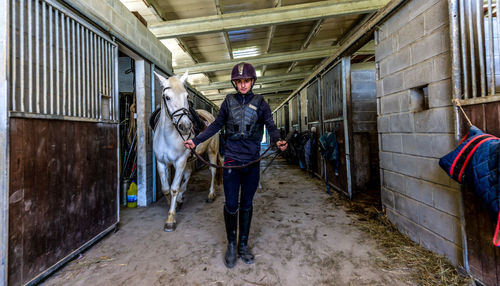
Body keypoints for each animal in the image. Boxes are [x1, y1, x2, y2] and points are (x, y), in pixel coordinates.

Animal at [152, 72, 223, 232]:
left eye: (186, 96)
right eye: (167, 97)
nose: (185, 126)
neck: (168, 136)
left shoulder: (179, 162)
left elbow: (174, 188)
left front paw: (170, 220)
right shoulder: (161, 163)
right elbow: (166, 188)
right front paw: (175, 204)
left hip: (211, 151)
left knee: (212, 171)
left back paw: (211, 195)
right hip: (190, 158)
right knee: (189, 173)